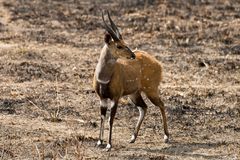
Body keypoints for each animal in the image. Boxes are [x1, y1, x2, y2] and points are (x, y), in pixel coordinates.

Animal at [92, 11, 169, 151]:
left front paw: (109, 145)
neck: (104, 78)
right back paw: (133, 137)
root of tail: (159, 64)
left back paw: (166, 137)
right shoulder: (102, 98)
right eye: (119, 45)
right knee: (144, 107)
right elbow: (102, 117)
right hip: (134, 93)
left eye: (124, 42)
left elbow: (111, 119)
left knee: (161, 104)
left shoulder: (115, 97)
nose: (132, 55)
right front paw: (99, 142)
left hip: (151, 90)